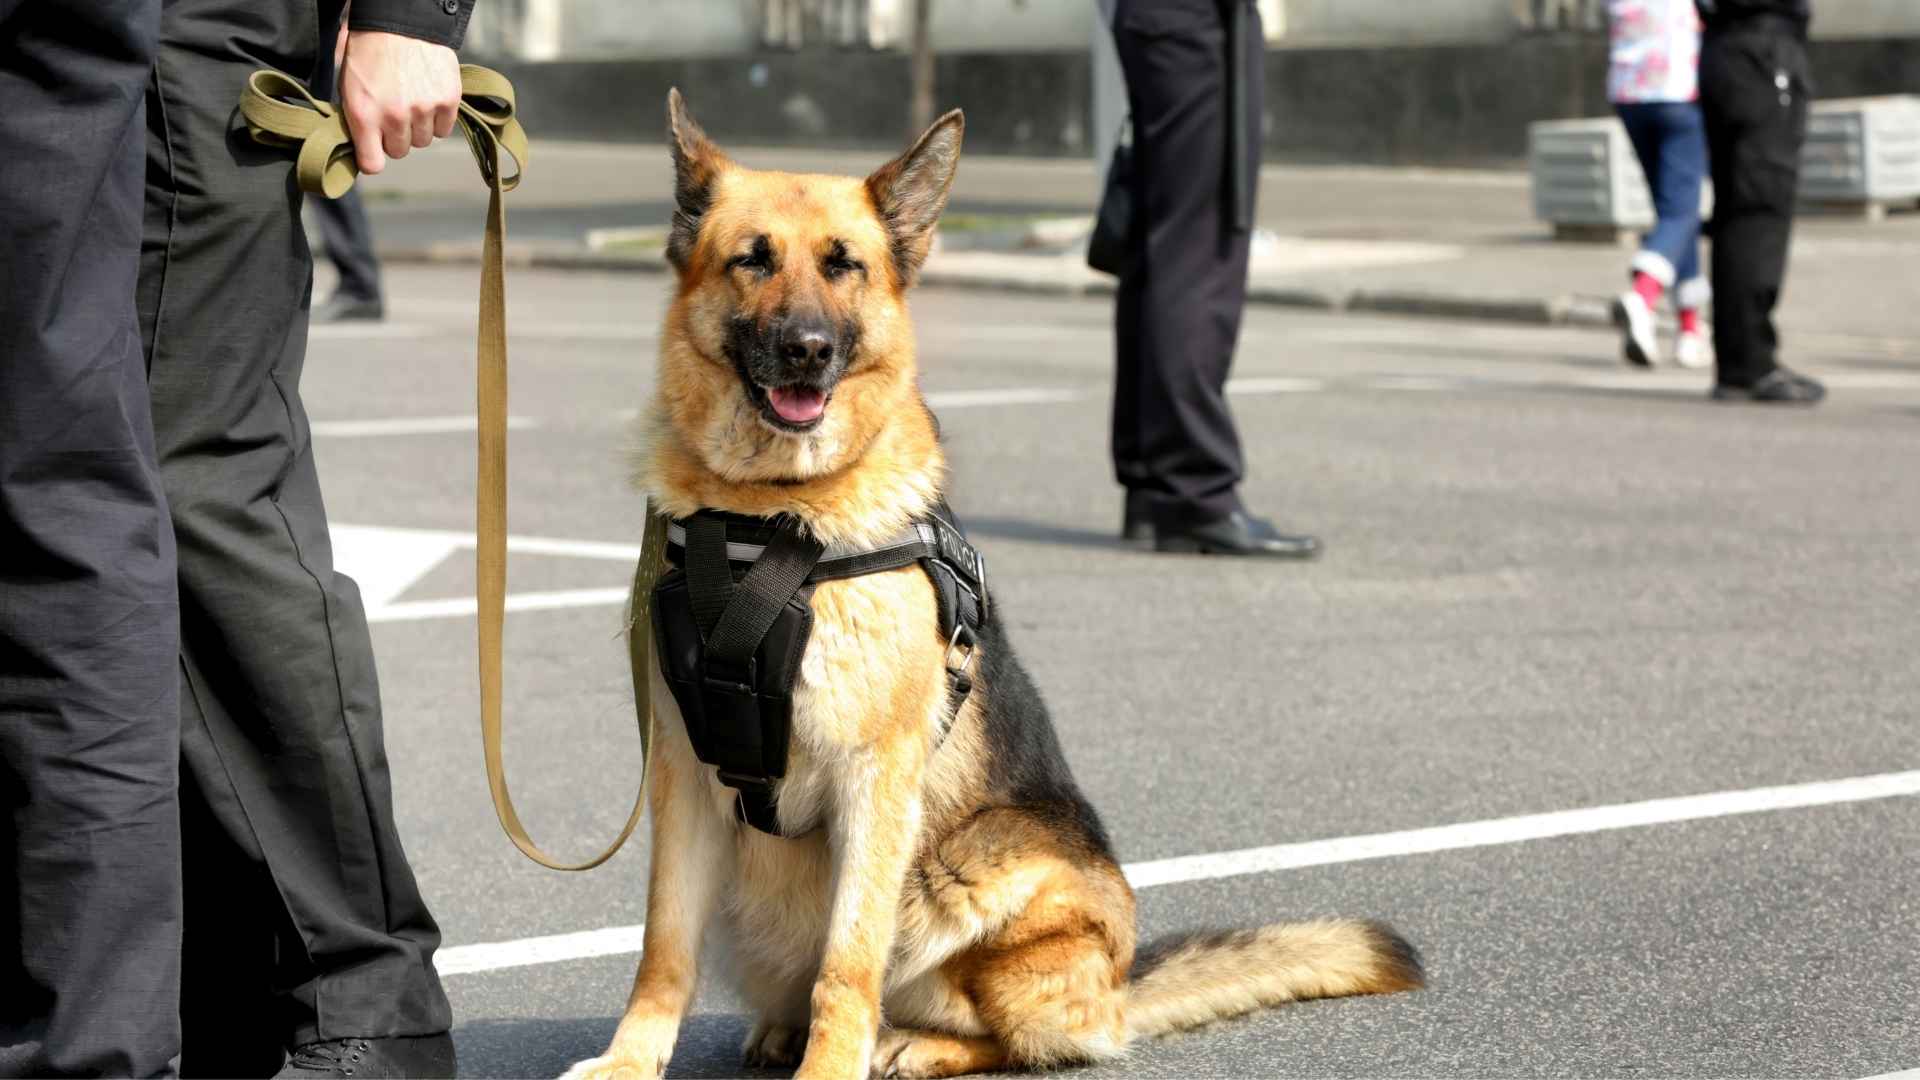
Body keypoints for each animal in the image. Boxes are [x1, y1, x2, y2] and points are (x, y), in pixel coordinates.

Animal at [560, 90, 1420, 1076]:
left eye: (844, 265)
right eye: (753, 259)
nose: (808, 350)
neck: (769, 516)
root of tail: (1122, 983)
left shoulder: (874, 780)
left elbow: (847, 964)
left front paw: (833, 1064)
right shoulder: (683, 781)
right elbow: (663, 949)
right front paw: (630, 1061)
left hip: (981, 873)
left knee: (1015, 1032)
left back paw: (907, 1043)